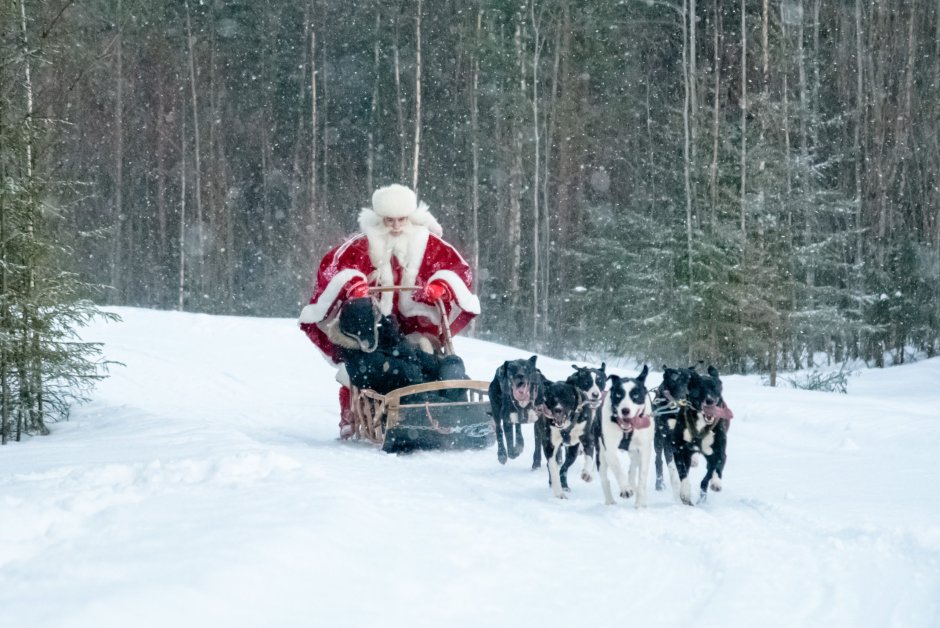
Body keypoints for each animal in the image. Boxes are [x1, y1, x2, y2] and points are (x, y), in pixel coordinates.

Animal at [596, 366, 652, 508]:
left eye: (635, 395)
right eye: (618, 395)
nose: (625, 410)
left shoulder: (644, 450)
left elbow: (642, 478)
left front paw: (640, 504)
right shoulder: (609, 450)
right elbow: (618, 469)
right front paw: (625, 489)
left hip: (635, 453)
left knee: (632, 470)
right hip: (601, 454)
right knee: (604, 479)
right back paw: (610, 501)